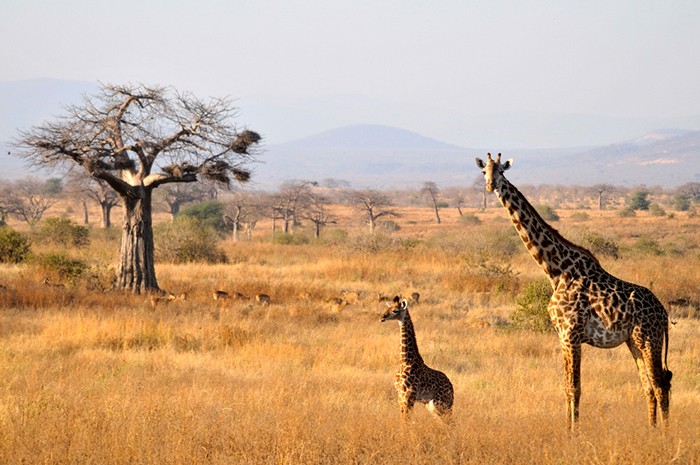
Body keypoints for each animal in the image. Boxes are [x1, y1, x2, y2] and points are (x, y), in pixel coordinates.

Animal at [476, 154, 672, 430]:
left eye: (502, 171)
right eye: (484, 170)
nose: (490, 185)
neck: (556, 271)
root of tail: (663, 313)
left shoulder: (571, 334)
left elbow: (575, 388)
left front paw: (574, 433)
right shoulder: (562, 336)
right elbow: (567, 387)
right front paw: (568, 429)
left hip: (649, 340)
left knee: (660, 385)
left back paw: (664, 434)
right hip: (634, 342)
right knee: (649, 386)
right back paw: (650, 430)